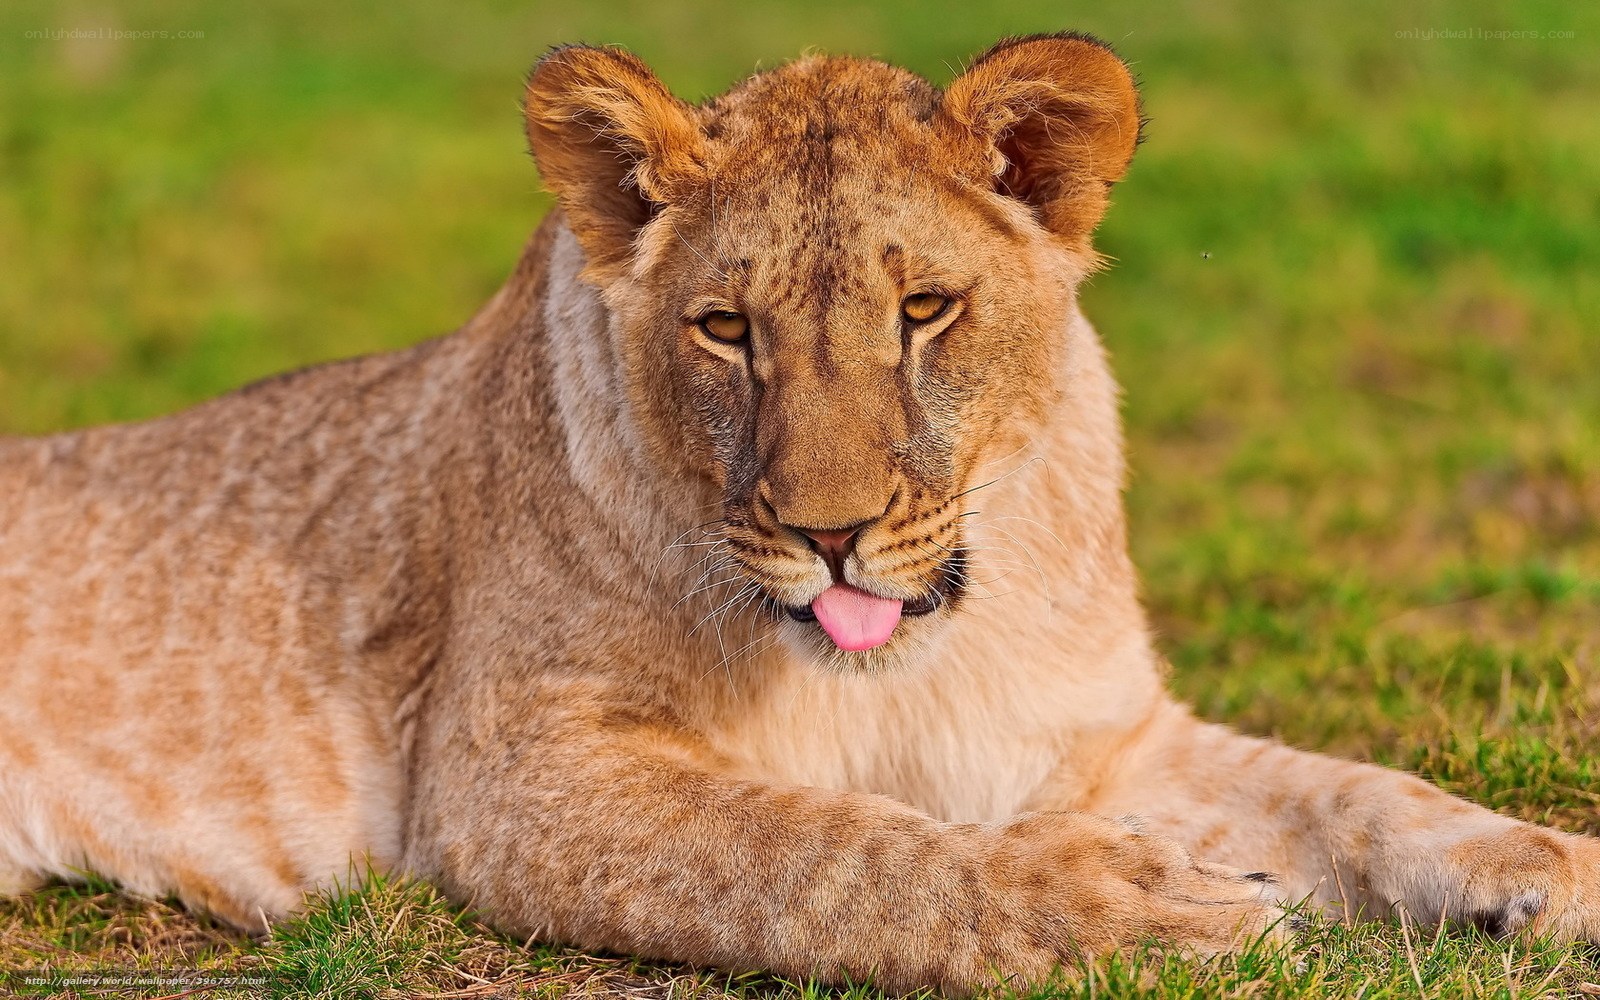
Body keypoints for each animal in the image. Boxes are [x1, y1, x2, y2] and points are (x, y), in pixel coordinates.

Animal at [1, 33, 1596, 993]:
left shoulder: (1098, 739)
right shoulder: (510, 777)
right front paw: (1145, 915)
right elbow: (826, 855)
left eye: (926, 309)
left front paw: (1550, 868)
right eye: (725, 329)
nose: (832, 533)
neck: (921, 653)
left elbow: (1355, 791)